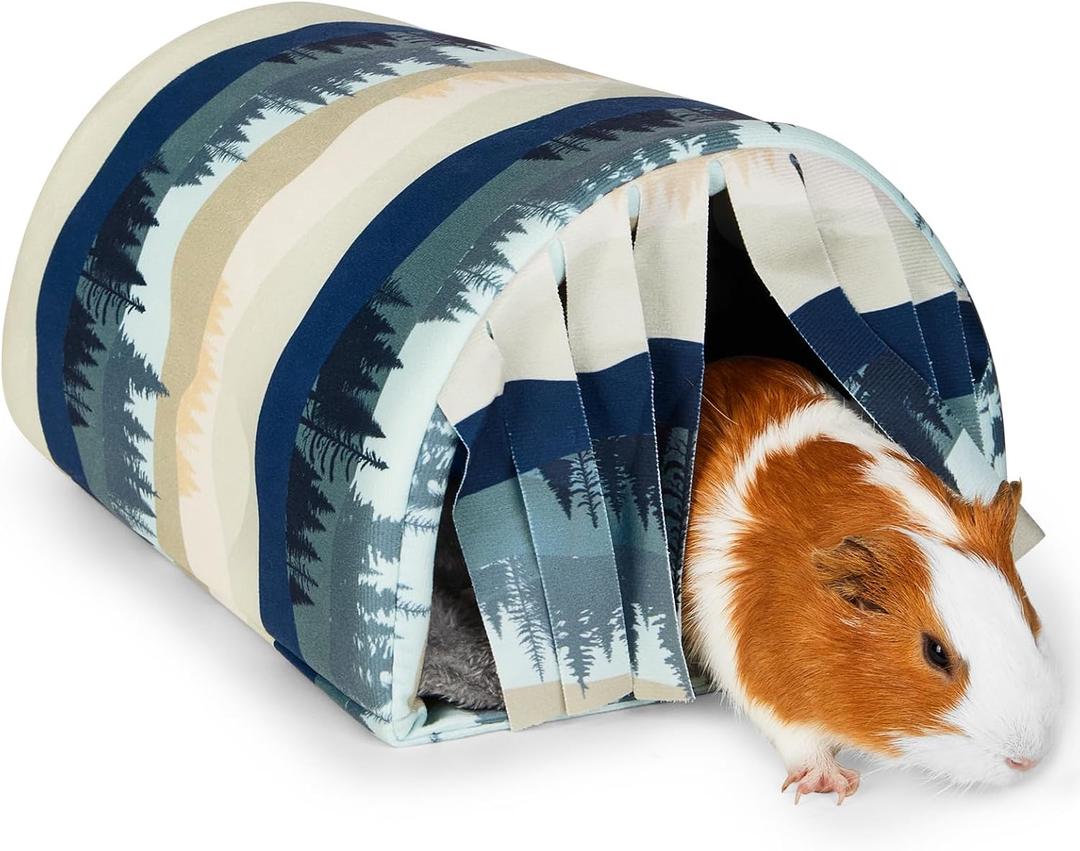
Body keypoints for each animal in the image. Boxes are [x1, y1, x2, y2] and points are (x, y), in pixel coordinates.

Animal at [682, 357, 1058, 802]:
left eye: (1029, 623)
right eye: (936, 652)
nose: (1028, 760)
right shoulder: (760, 672)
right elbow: (796, 735)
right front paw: (834, 784)